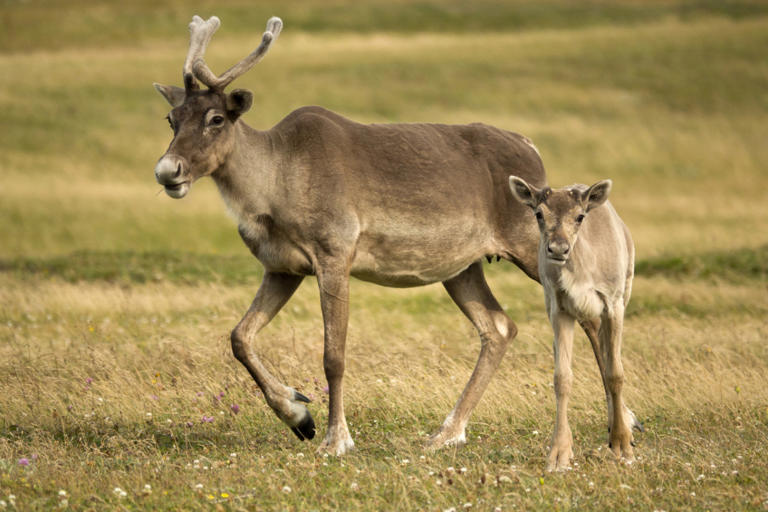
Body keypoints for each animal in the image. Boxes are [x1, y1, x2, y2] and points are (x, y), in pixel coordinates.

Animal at [508, 175, 641, 471]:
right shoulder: (559, 307)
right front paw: (559, 454)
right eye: (538, 213)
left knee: (606, 356)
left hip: (626, 285)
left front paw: (623, 445)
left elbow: (616, 373)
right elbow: (562, 377)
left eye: (580, 216)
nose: (558, 248)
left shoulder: (613, 301)